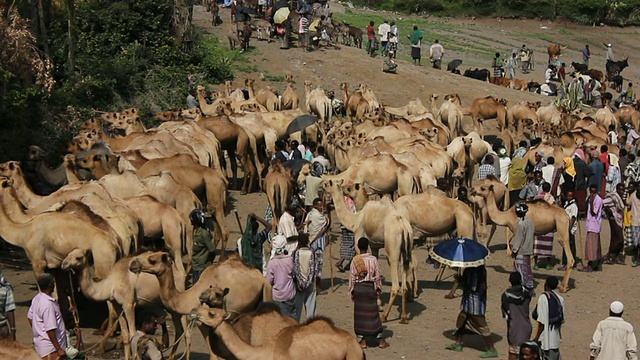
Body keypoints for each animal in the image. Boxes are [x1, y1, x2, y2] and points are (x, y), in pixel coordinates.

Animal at [129, 252, 272, 360]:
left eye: (152, 260)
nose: (132, 264)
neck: (186, 298)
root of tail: (263, 280)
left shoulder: (204, 322)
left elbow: (213, 354)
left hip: (236, 310)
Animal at [322, 179, 412, 324]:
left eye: (327, 184)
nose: (321, 184)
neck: (355, 219)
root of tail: (403, 227)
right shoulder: (374, 246)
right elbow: (375, 274)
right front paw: (379, 304)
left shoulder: (359, 239)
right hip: (406, 250)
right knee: (404, 282)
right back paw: (403, 317)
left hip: (392, 249)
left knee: (395, 285)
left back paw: (385, 317)